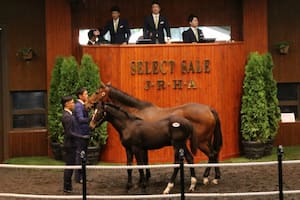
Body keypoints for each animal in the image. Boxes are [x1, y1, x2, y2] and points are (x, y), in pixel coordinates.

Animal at [86, 83, 223, 186]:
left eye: (97, 92)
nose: (87, 104)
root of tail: (209, 109)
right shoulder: (143, 146)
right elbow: (145, 161)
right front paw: (146, 178)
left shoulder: (139, 146)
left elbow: (143, 162)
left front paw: (143, 180)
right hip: (205, 141)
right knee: (215, 154)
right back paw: (216, 178)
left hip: (201, 142)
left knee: (211, 154)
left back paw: (206, 177)